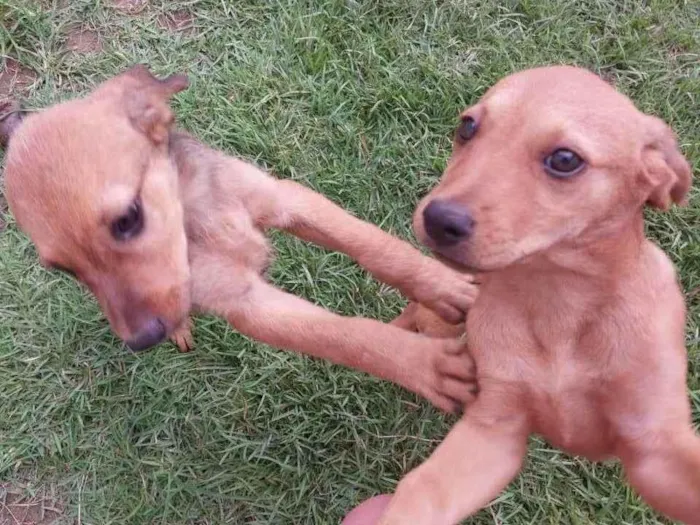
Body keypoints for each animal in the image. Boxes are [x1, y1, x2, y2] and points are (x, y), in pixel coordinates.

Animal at [1, 65, 482, 412]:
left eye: (127, 219)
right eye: (64, 269)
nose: (141, 341)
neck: (195, 216)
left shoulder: (287, 199)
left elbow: (374, 245)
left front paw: (440, 284)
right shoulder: (247, 304)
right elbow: (349, 337)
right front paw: (424, 364)